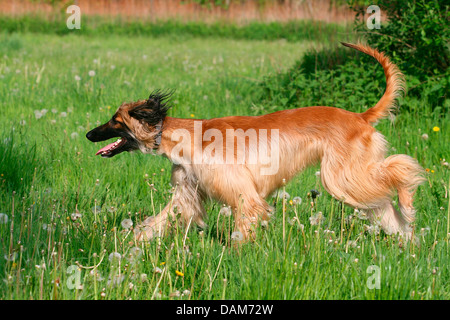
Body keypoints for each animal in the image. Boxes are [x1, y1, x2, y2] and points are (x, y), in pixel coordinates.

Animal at [86, 43, 424, 242]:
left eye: (115, 120)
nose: (89, 134)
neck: (186, 138)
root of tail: (360, 116)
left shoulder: (242, 193)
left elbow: (244, 224)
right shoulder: (188, 191)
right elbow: (160, 220)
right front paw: (130, 245)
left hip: (341, 176)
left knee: (400, 169)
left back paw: (408, 205)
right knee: (384, 204)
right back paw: (406, 240)